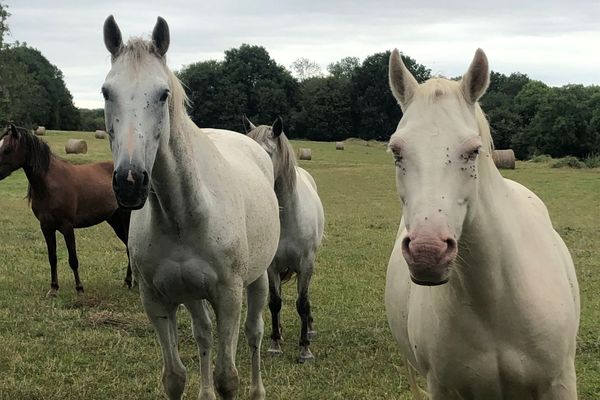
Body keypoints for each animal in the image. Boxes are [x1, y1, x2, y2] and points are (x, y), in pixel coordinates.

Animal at [0, 123, 131, 296]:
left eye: (7, 149)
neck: (50, 185)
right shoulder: (46, 227)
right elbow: (52, 257)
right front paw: (53, 288)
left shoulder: (67, 227)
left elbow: (73, 259)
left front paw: (79, 288)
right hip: (114, 220)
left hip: (125, 218)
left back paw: (130, 281)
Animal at [103, 16, 282, 400]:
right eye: (107, 92)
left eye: (163, 94)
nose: (130, 181)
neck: (184, 213)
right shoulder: (156, 300)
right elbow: (175, 376)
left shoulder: (228, 297)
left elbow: (228, 377)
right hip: (191, 294)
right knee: (203, 334)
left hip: (258, 280)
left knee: (255, 334)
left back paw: (258, 389)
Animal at [243, 116, 326, 362]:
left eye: (265, 154)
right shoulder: (272, 266)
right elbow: (274, 302)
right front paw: (274, 344)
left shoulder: (306, 265)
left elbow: (303, 303)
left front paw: (305, 348)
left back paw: (309, 328)